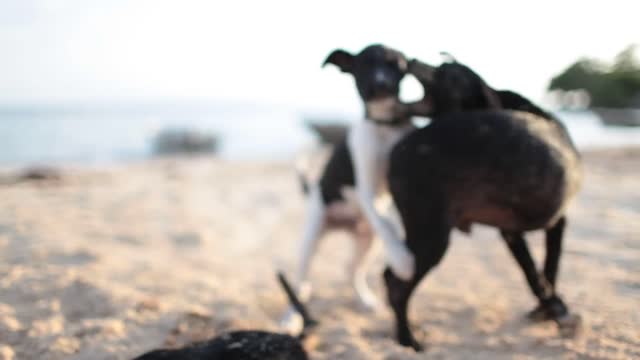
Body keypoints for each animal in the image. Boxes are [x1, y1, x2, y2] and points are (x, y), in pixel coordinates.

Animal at [382, 57, 584, 350]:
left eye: (447, 73)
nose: (410, 61)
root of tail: (400, 149)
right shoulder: (555, 222)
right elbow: (547, 270)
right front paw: (554, 310)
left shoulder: (513, 232)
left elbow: (538, 273)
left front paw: (547, 309)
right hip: (432, 237)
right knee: (398, 286)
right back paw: (408, 340)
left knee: (390, 276)